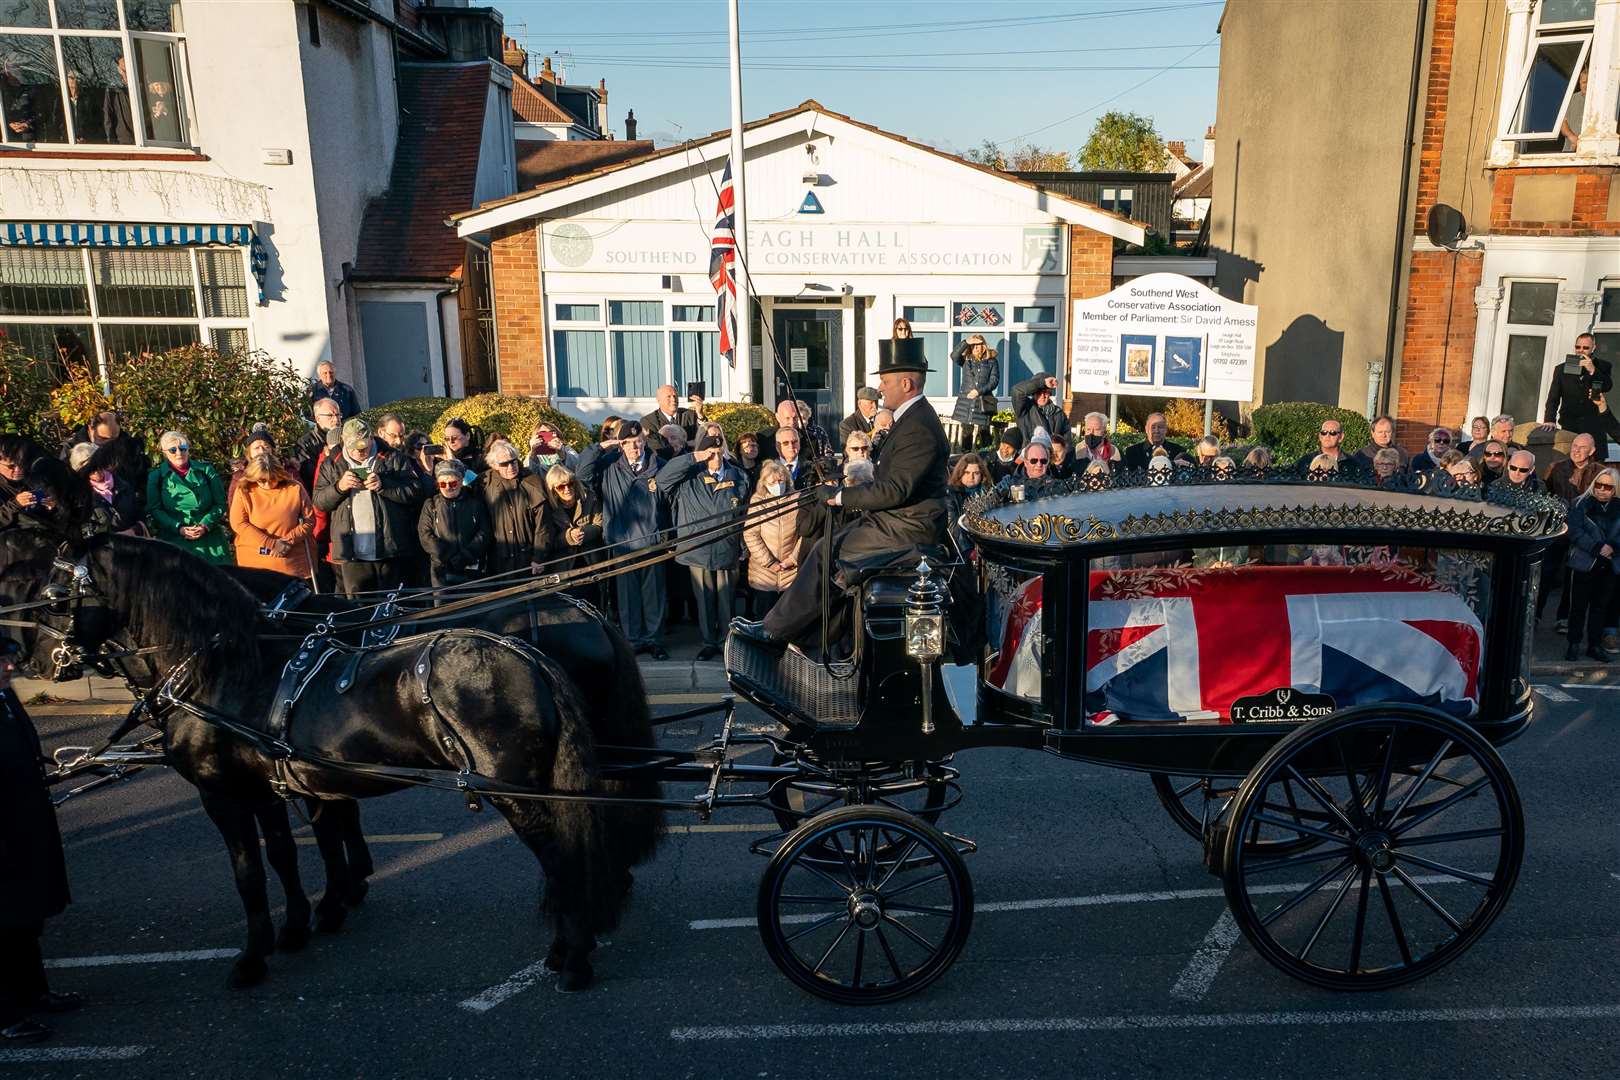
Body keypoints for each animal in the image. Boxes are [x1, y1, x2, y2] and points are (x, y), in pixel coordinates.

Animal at [20, 537, 664, 990]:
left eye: (54, 593)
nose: (40, 661)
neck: (223, 667)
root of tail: (534, 650)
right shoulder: (281, 784)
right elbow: (297, 847)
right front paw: (314, 913)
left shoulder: (224, 795)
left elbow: (252, 873)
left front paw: (259, 953)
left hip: (518, 787)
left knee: (565, 854)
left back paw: (573, 954)